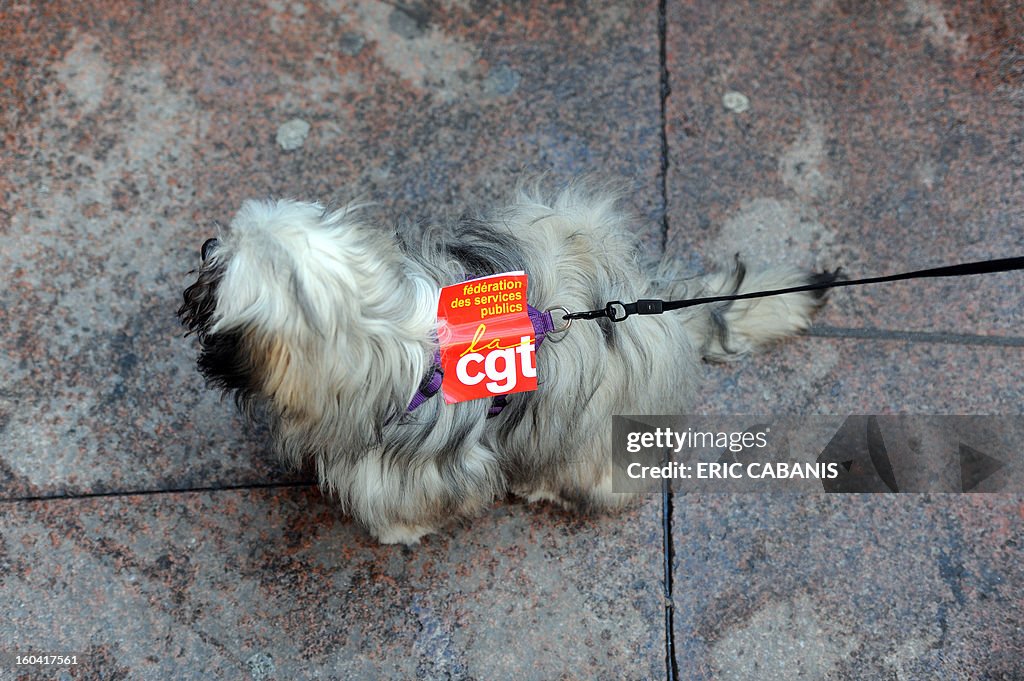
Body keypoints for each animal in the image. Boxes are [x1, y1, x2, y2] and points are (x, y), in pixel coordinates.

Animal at [178, 184, 831, 540]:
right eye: (221, 246)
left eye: (218, 273)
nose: (206, 243)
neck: (385, 337)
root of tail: (655, 307)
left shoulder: (419, 466)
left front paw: (398, 532)